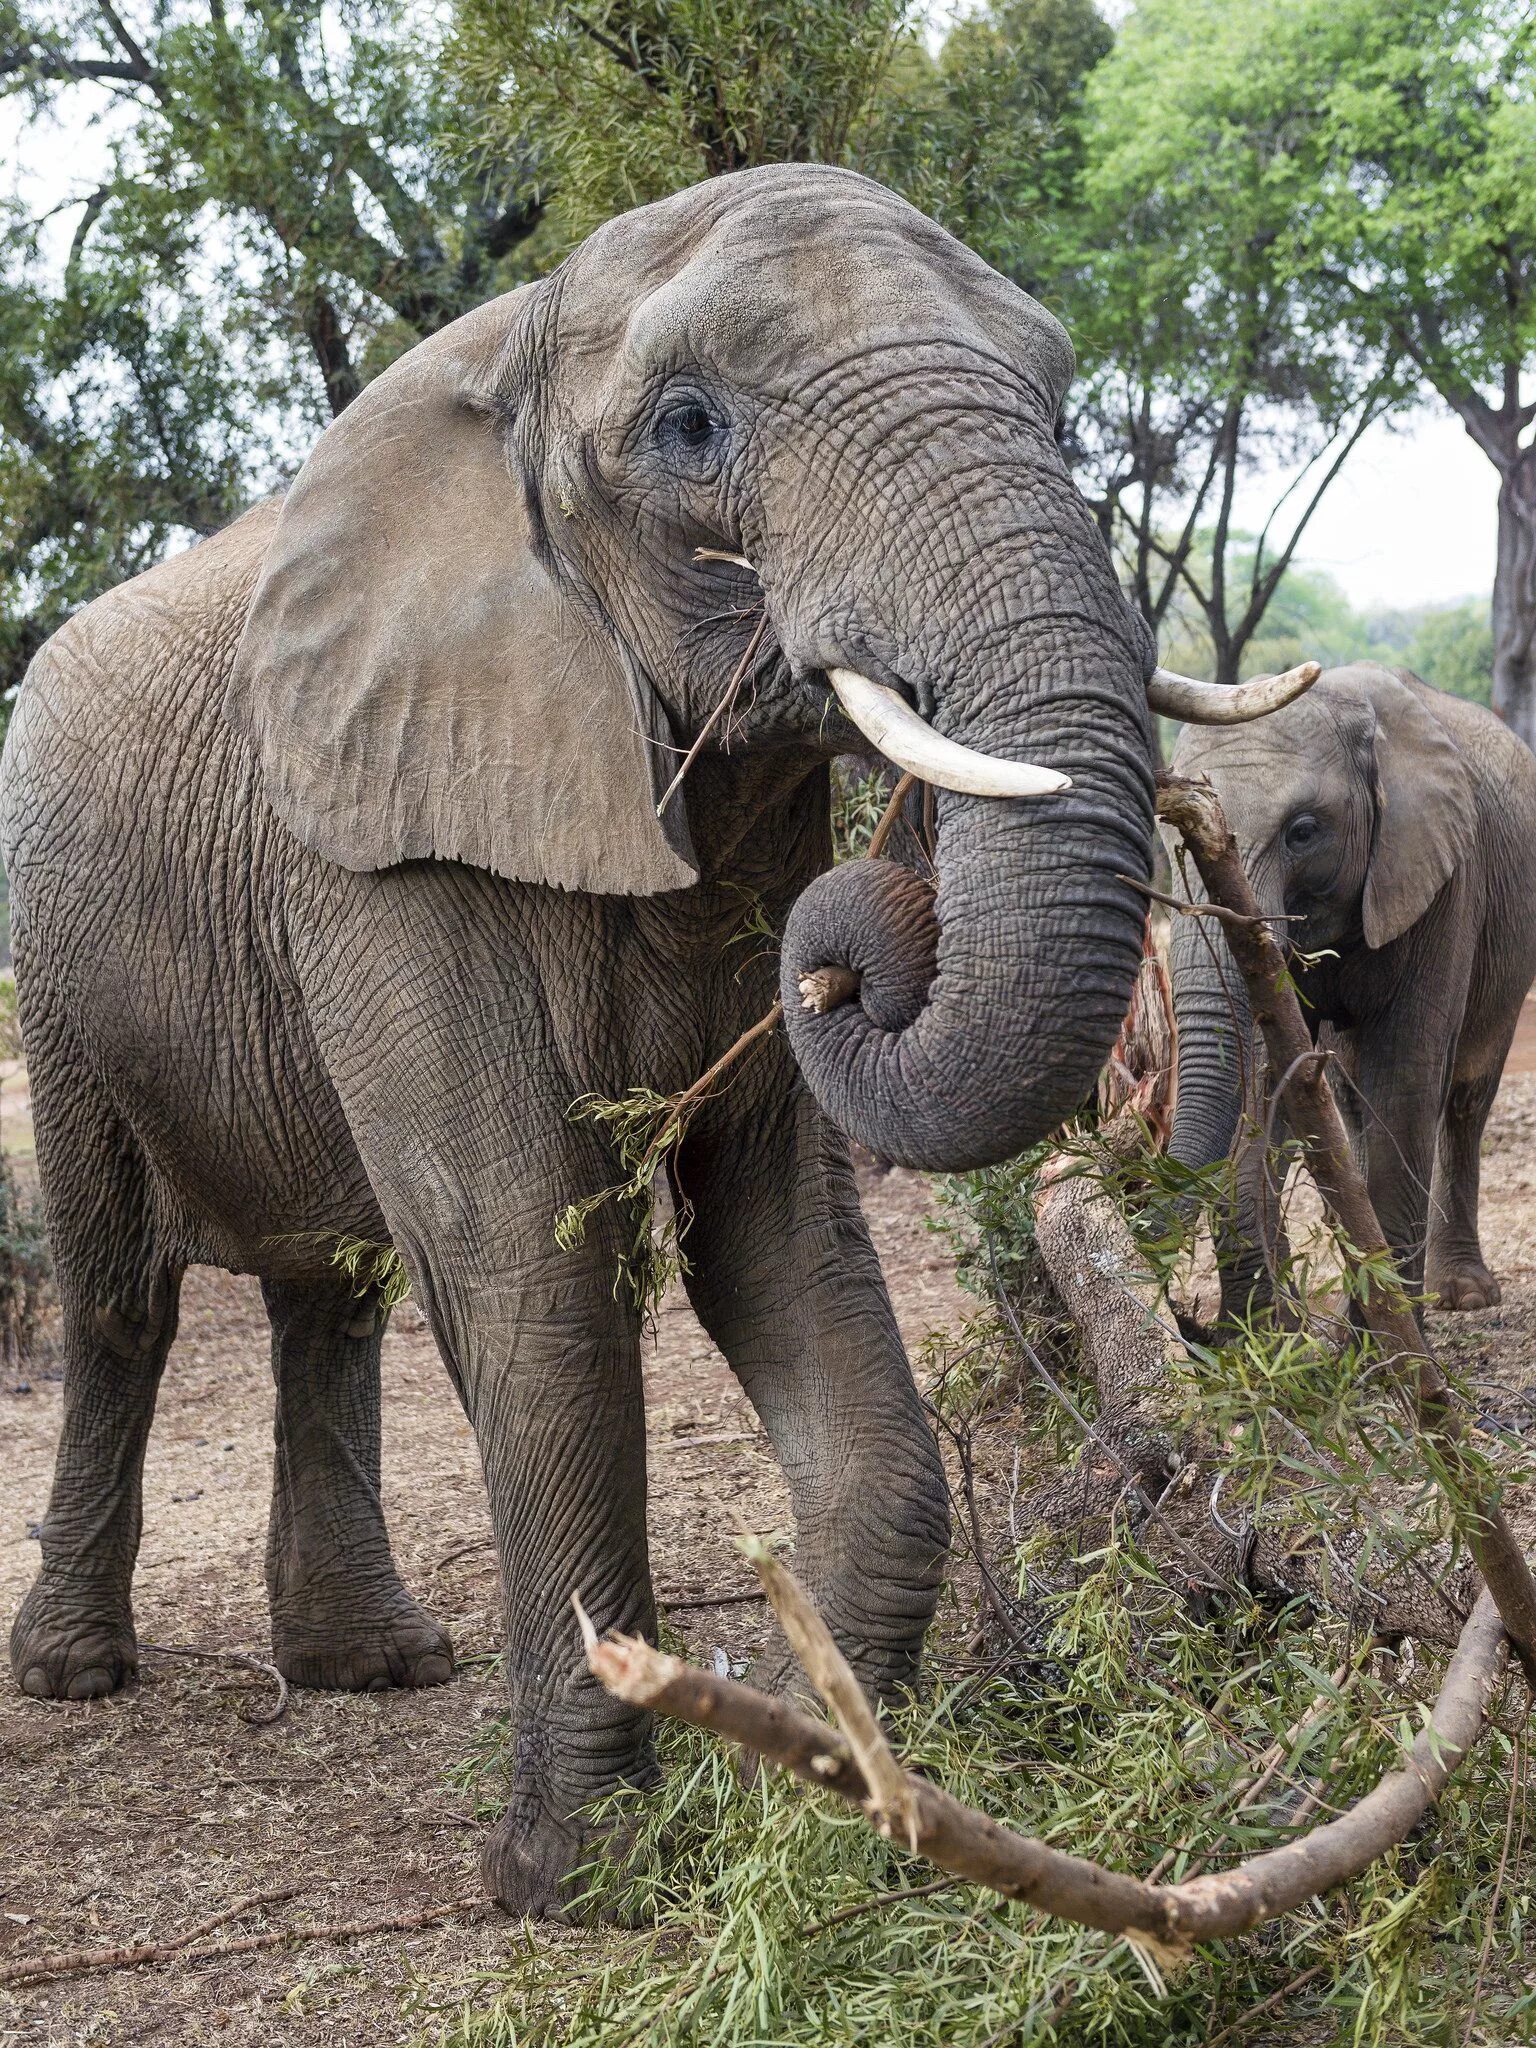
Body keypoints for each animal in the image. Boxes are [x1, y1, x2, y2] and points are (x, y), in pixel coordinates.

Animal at [1163, 663, 1536, 1318]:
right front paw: (1271, 1337)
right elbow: (1268, 1079)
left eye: (1303, 832)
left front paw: (1383, 1343)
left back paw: (1461, 1295)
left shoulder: (1444, 879)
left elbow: (1406, 1079)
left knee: (1464, 1101)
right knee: (1348, 1095)